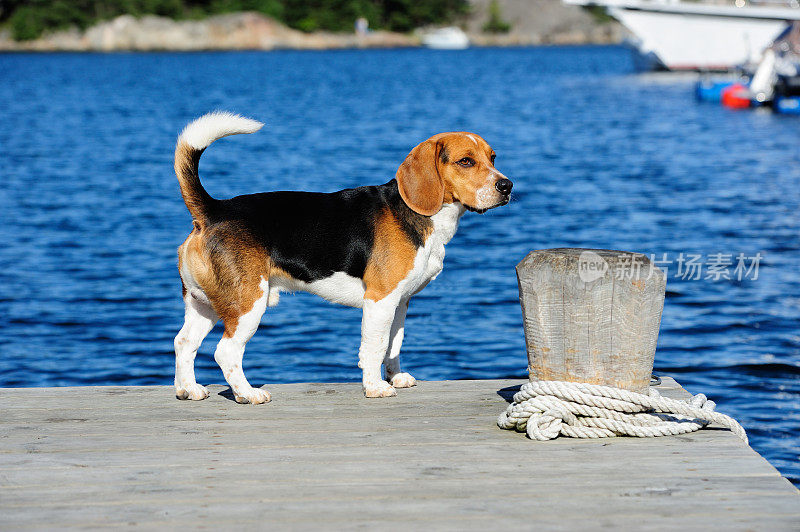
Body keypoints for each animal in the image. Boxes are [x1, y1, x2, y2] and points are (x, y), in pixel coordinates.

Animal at [173, 111, 516, 404]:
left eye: (493, 158)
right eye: (466, 161)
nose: (507, 185)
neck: (420, 215)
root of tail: (213, 210)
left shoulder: (400, 301)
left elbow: (394, 343)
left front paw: (396, 378)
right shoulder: (380, 299)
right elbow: (375, 346)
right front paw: (375, 387)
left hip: (204, 303)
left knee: (184, 342)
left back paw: (189, 389)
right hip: (248, 303)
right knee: (226, 351)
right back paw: (248, 393)